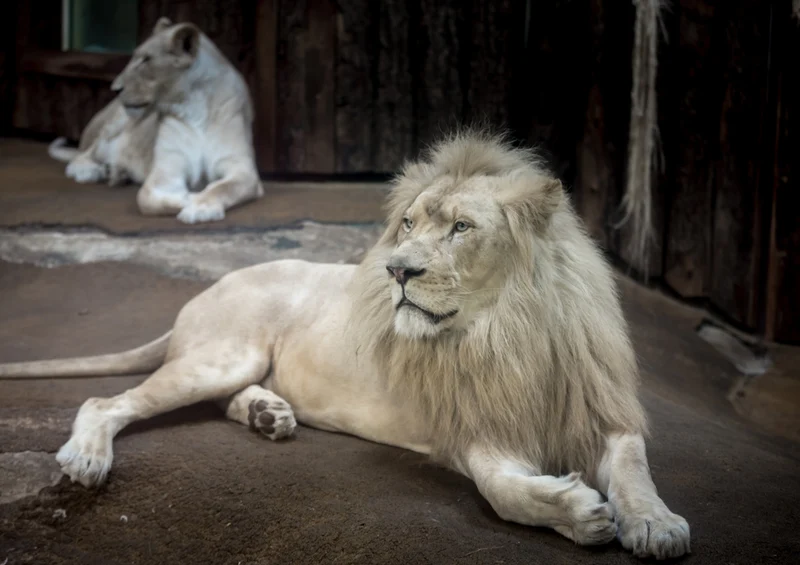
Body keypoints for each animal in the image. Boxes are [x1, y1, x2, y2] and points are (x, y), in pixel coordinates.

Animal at [0, 131, 690, 559]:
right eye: (407, 224)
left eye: (461, 228)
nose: (397, 270)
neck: (507, 331)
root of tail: (207, 287)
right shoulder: (472, 433)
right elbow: (507, 494)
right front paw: (581, 514)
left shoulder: (602, 412)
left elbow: (635, 467)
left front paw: (655, 523)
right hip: (223, 355)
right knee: (105, 402)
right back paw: (89, 456)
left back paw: (268, 413)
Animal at [47, 17, 263, 224]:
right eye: (135, 57)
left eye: (146, 60)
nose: (115, 88)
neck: (193, 106)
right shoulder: (166, 170)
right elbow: (145, 198)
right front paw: (189, 198)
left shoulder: (241, 168)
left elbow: (223, 188)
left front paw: (200, 206)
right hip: (114, 124)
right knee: (82, 154)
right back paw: (92, 171)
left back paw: (117, 173)